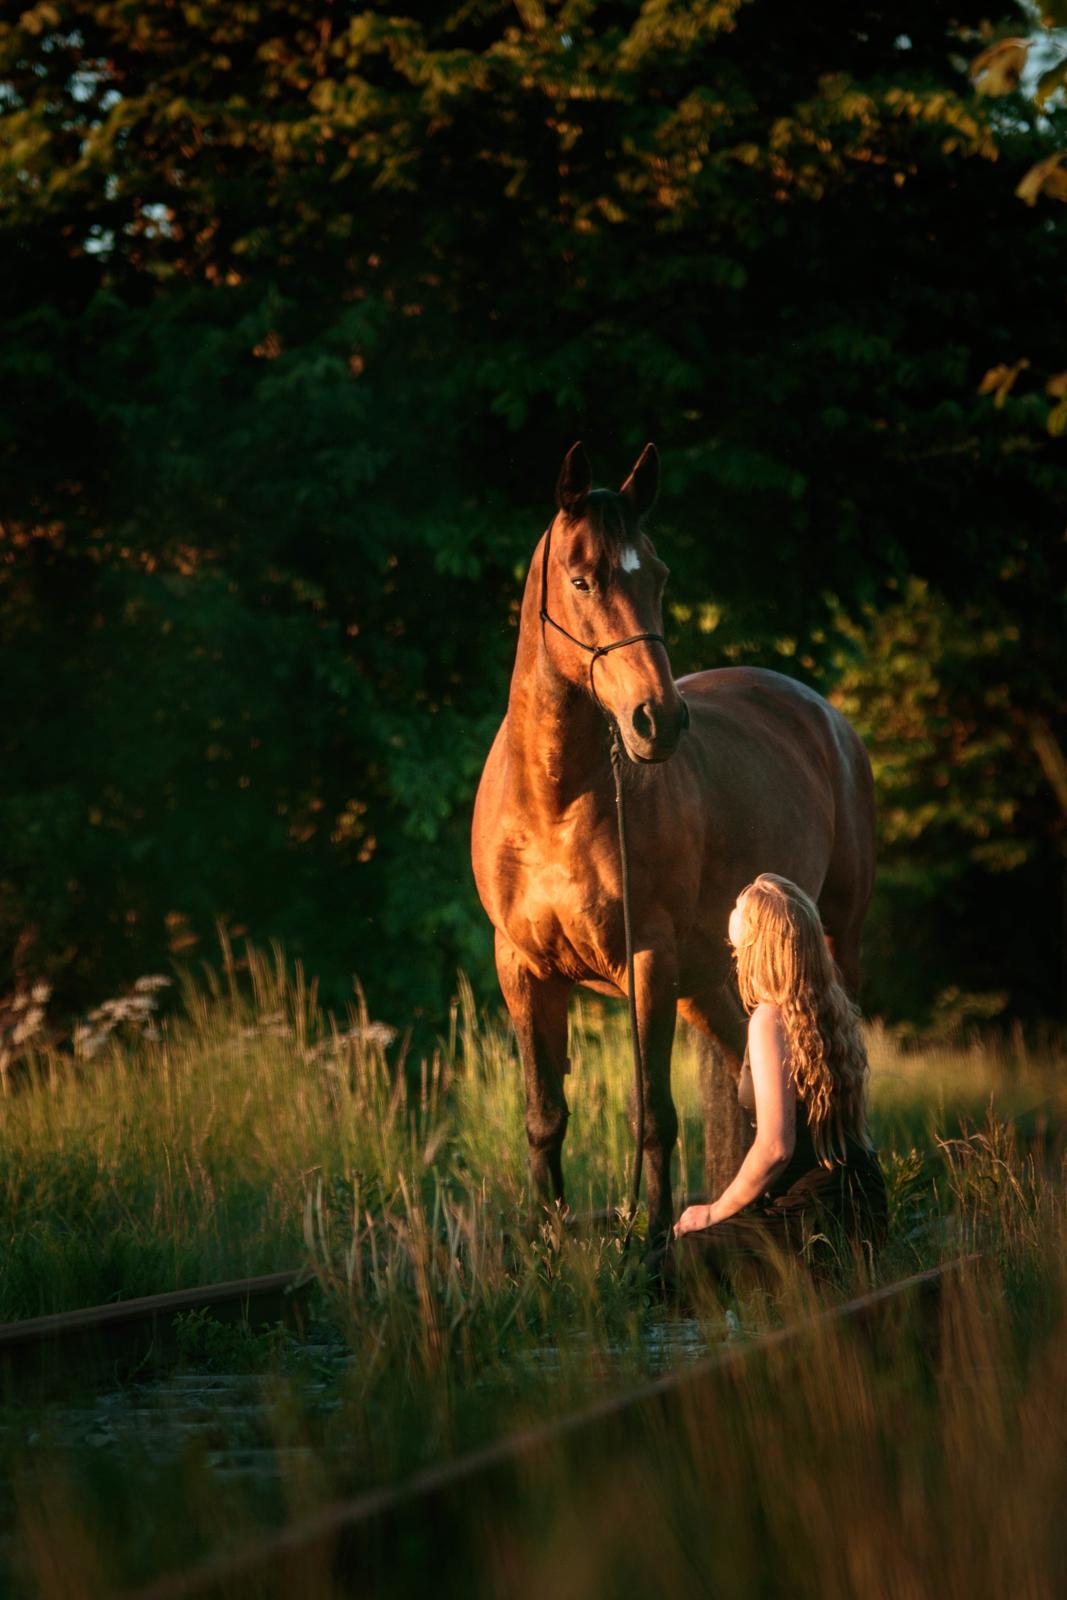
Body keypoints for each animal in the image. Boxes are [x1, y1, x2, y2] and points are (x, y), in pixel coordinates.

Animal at [470, 441, 870, 1248]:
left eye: (656, 575)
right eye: (581, 578)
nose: (658, 720)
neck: (552, 802)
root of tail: (823, 714)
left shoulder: (646, 961)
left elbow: (651, 1113)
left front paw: (650, 1242)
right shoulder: (521, 969)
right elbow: (544, 1116)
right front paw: (549, 1241)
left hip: (832, 938)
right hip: (711, 984)